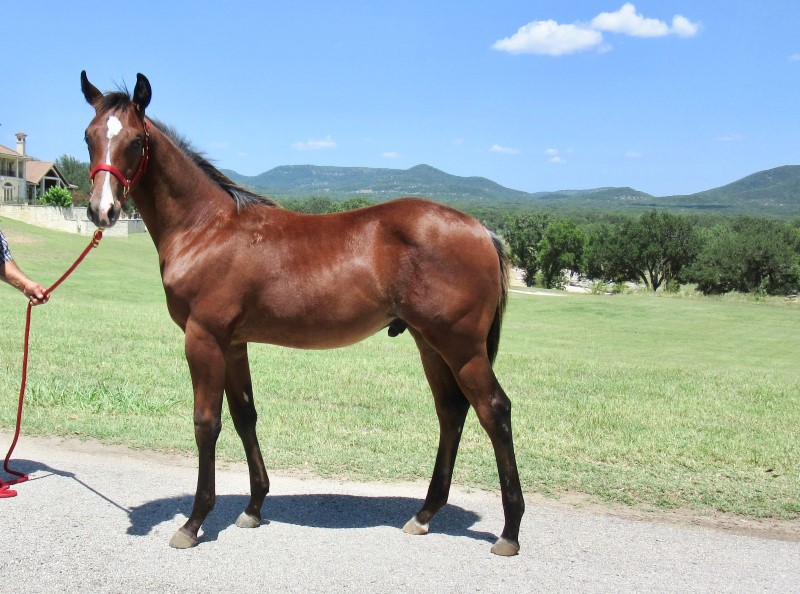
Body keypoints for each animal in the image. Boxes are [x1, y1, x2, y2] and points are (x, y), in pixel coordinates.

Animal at [78, 71, 520, 552]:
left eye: (136, 141)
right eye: (89, 137)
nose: (102, 211)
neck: (206, 229)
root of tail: (483, 230)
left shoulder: (204, 338)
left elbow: (206, 424)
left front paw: (193, 523)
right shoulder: (233, 344)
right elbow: (245, 417)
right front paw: (253, 508)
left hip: (462, 347)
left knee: (494, 411)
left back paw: (509, 531)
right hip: (430, 343)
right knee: (451, 411)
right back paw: (424, 515)